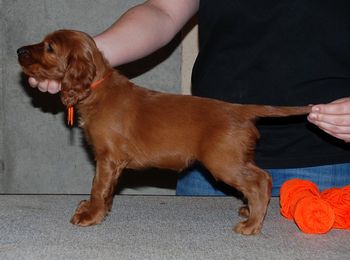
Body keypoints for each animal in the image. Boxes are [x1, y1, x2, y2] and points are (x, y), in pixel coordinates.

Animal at [17, 30, 310, 236]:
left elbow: (98, 187)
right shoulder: (111, 163)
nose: (19, 50)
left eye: (50, 47)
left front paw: (91, 215)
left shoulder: (108, 158)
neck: (96, 89)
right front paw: (100, 210)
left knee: (261, 181)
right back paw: (249, 211)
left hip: (223, 161)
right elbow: (107, 189)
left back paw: (251, 224)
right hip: (236, 159)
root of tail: (239, 109)